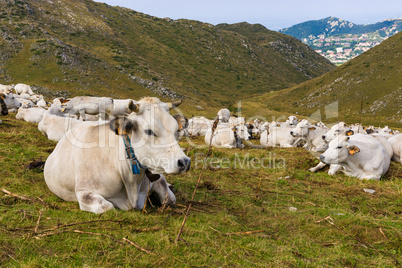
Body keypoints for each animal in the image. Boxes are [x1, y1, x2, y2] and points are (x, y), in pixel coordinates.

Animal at [44, 98, 189, 214]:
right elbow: (107, 207)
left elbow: (170, 199)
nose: (184, 162)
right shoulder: (83, 191)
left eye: (176, 130)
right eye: (149, 131)